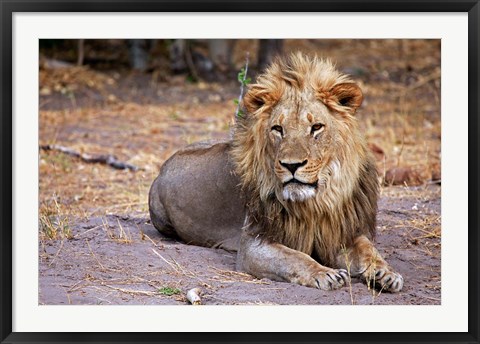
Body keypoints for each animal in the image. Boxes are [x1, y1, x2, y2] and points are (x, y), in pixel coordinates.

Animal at [148, 51, 404, 292]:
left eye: (316, 127)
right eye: (278, 129)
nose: (292, 165)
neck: (316, 203)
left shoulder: (340, 233)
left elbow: (368, 249)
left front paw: (386, 273)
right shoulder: (253, 243)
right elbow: (294, 257)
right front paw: (325, 274)